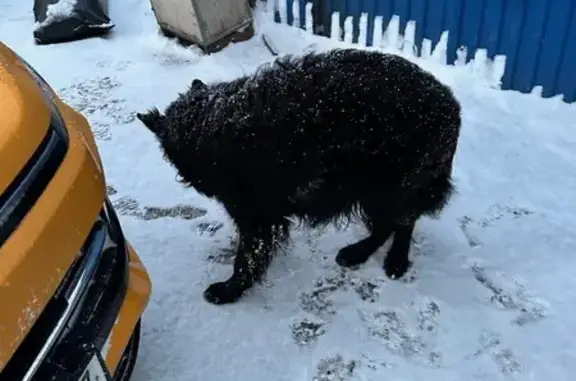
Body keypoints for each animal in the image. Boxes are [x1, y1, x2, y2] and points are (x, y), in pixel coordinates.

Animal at [137, 47, 462, 304]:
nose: (199, 185)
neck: (211, 126)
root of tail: (451, 106)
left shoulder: (255, 215)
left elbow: (246, 259)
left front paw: (229, 291)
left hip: (396, 185)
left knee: (403, 223)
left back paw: (395, 261)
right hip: (371, 187)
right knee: (385, 225)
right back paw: (357, 253)